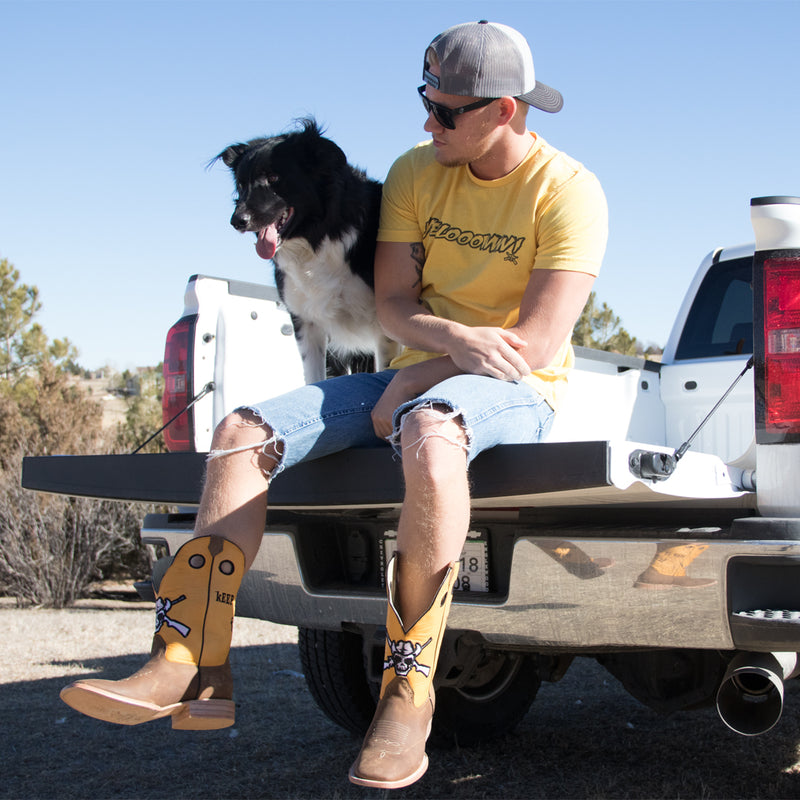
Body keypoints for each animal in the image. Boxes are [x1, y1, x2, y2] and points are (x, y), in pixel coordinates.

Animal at [214, 117, 398, 382]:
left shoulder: (384, 329)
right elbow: (314, 377)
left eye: (273, 177)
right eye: (241, 184)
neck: (316, 239)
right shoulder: (307, 323)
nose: (237, 220)